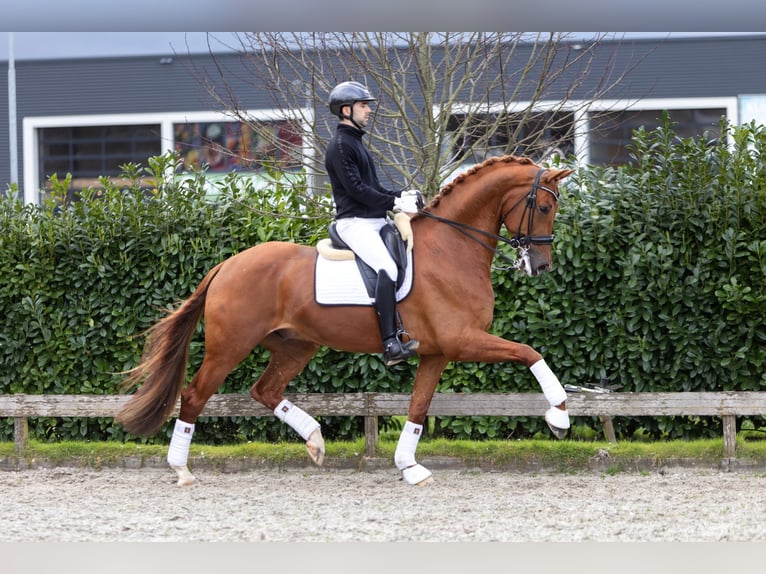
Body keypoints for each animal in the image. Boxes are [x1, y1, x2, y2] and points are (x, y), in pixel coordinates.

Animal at [117, 156, 576, 486]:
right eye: (545, 206)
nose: (541, 266)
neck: (452, 247)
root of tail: (227, 265)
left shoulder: (438, 352)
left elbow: (418, 407)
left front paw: (409, 467)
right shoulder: (463, 340)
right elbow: (529, 353)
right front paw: (559, 416)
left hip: (296, 345)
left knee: (265, 390)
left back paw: (315, 441)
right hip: (230, 346)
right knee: (194, 396)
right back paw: (181, 470)